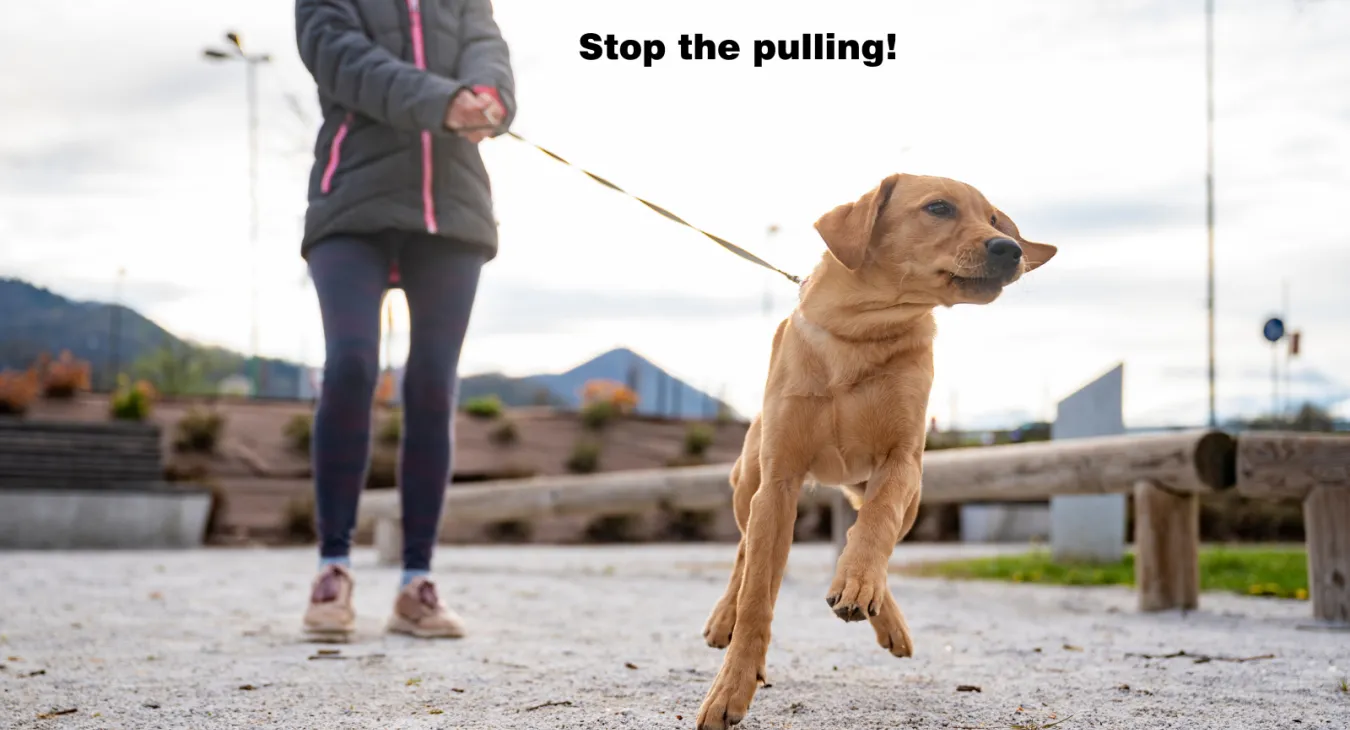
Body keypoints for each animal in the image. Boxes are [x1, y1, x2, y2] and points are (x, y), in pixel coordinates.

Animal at [696, 174, 1053, 723]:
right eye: (939, 208)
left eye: (994, 219)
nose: (1010, 249)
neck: (860, 333)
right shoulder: (778, 482)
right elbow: (757, 595)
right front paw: (731, 687)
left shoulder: (901, 462)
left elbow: (875, 526)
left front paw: (859, 583)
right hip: (747, 486)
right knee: (744, 552)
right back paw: (725, 619)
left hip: (908, 497)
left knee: (867, 532)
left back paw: (874, 605)